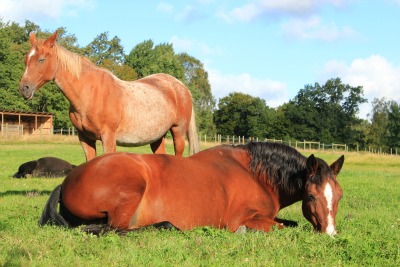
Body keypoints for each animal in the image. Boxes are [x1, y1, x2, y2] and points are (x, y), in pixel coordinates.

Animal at [19, 31, 200, 161]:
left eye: (41, 59)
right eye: (26, 59)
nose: (24, 88)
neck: (89, 93)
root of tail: (181, 87)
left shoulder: (108, 137)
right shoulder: (85, 139)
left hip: (178, 131)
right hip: (157, 136)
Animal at [39, 142, 344, 237]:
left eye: (339, 196)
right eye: (311, 195)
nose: (330, 233)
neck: (255, 173)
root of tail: (69, 179)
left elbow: (290, 222)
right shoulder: (243, 219)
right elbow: (282, 226)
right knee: (113, 229)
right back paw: (166, 225)